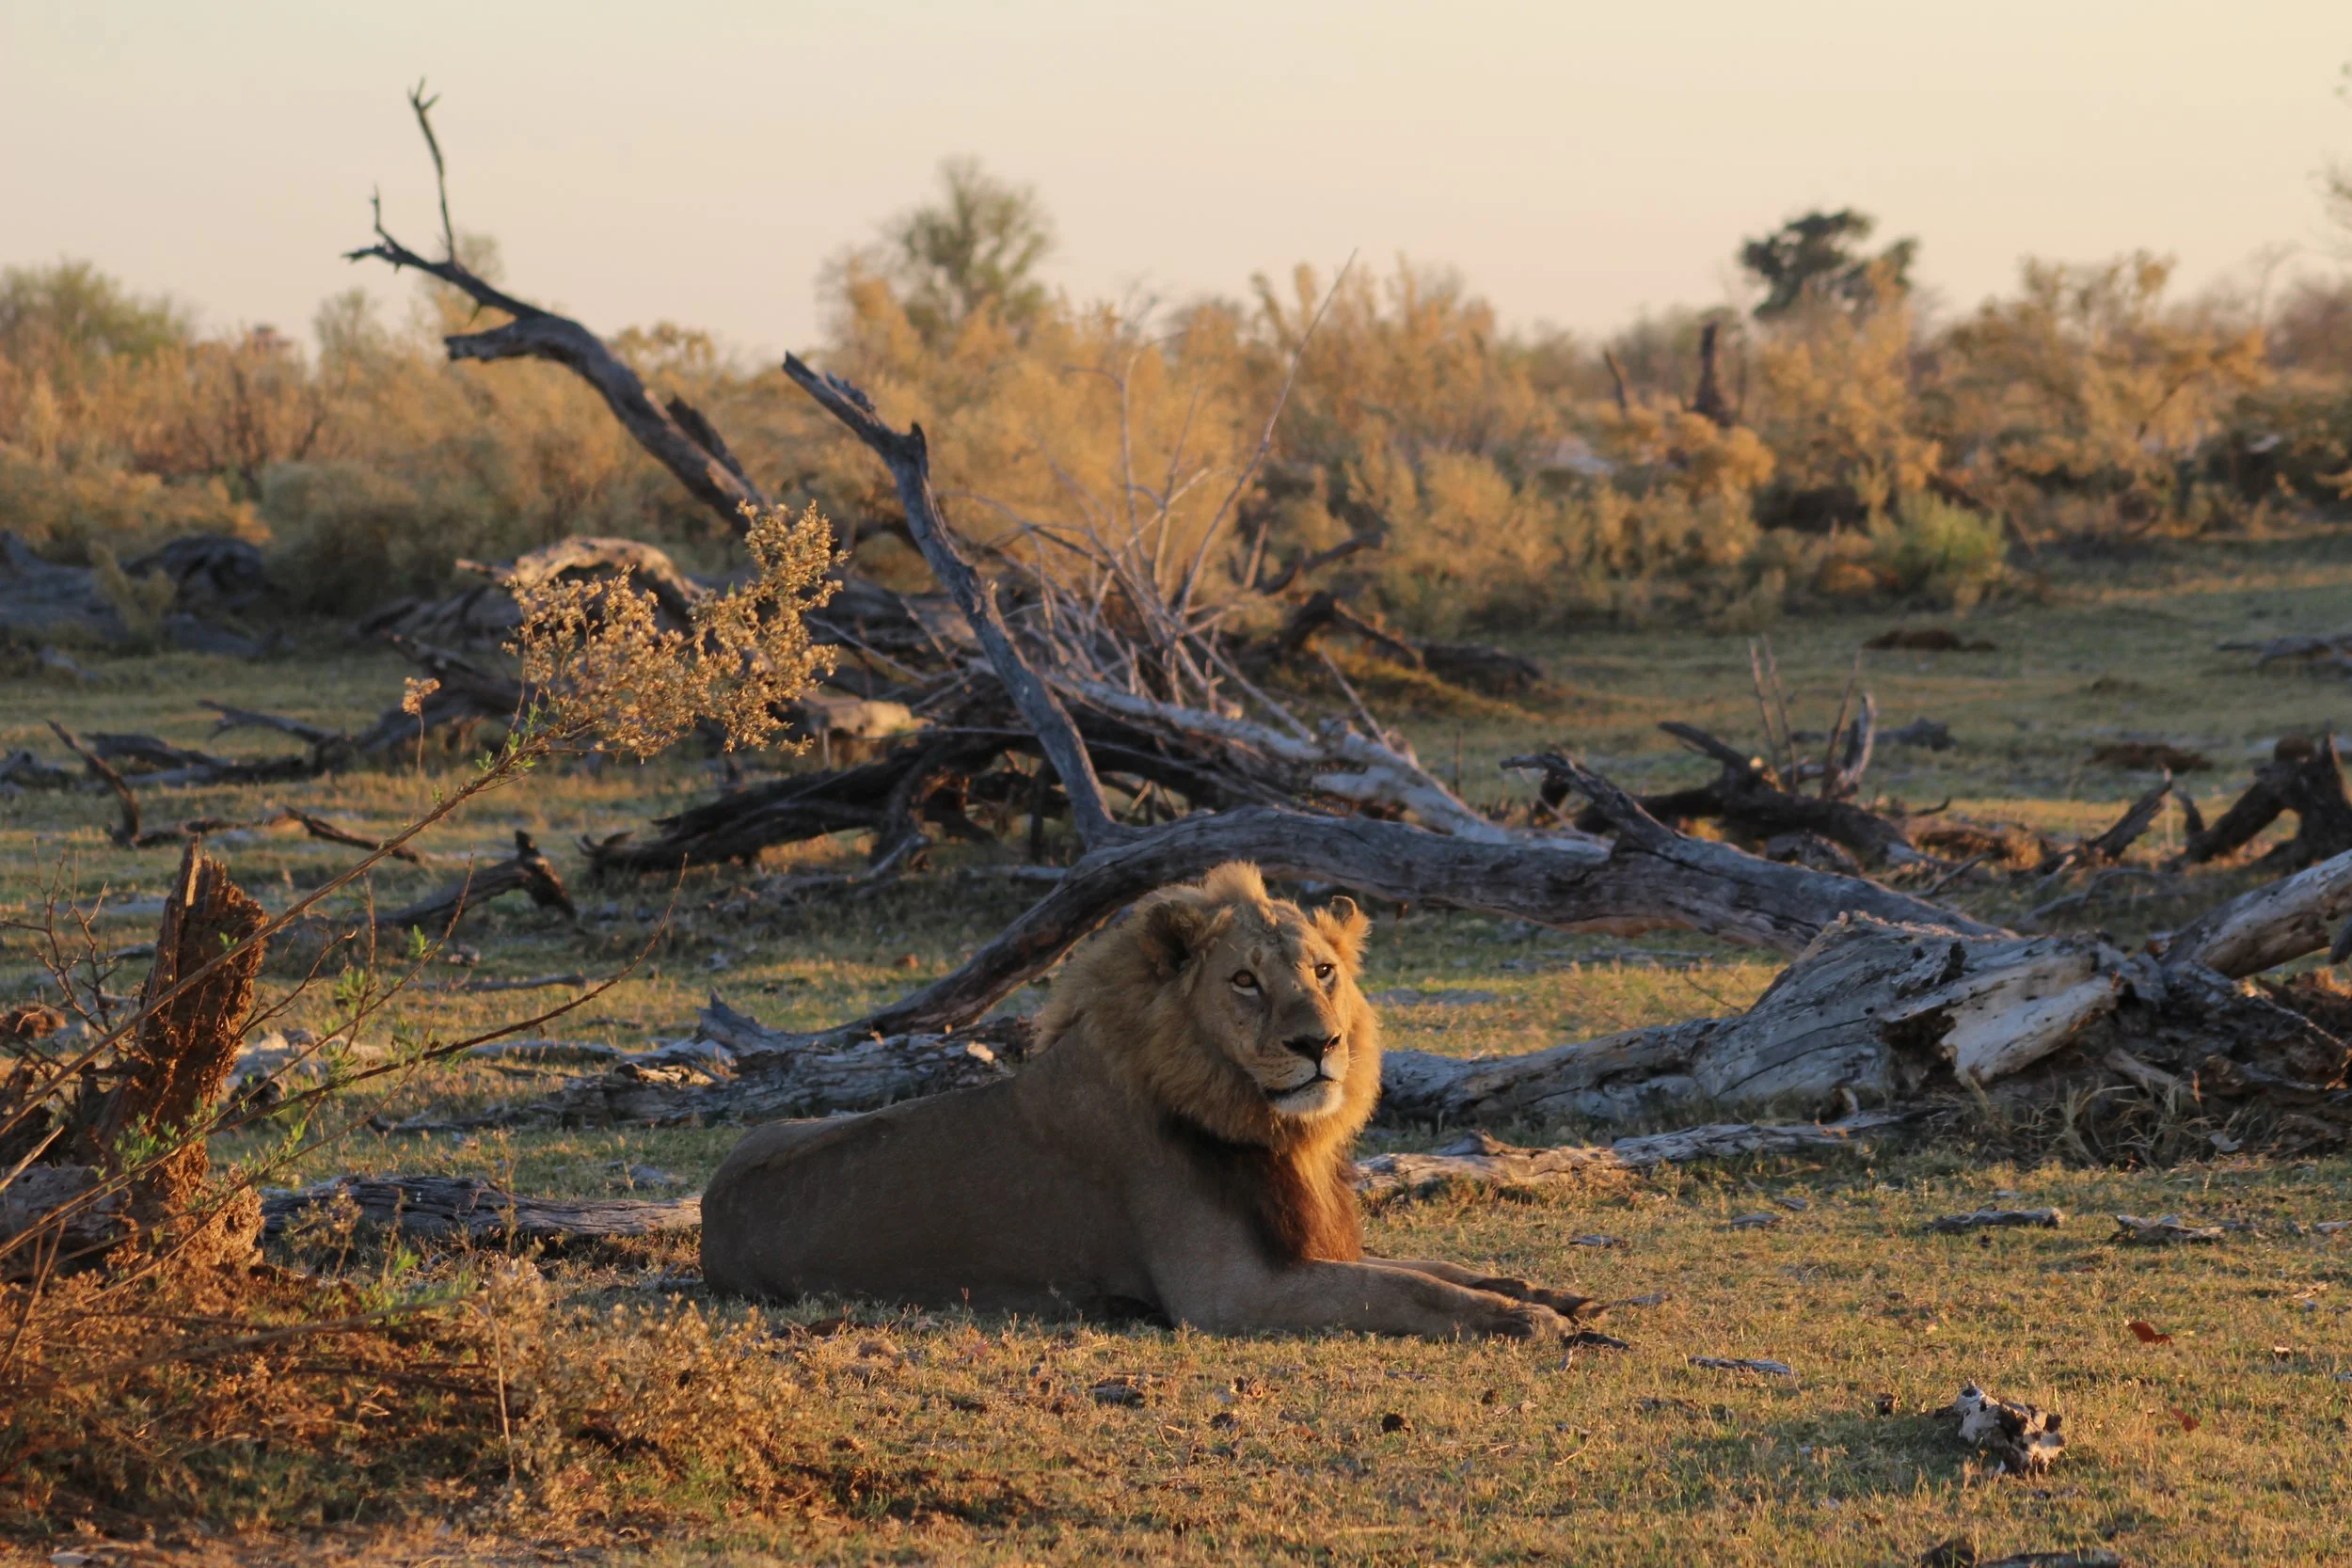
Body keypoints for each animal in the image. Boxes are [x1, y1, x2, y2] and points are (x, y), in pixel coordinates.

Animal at [700, 863, 1591, 1339]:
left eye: (1324, 971)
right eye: (1245, 980)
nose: (1320, 1044)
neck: (1270, 1128)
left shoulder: (1307, 1246)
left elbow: (1431, 1266)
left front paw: (1542, 1293)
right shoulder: (1232, 1294)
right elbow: (1409, 1289)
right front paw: (1530, 1322)